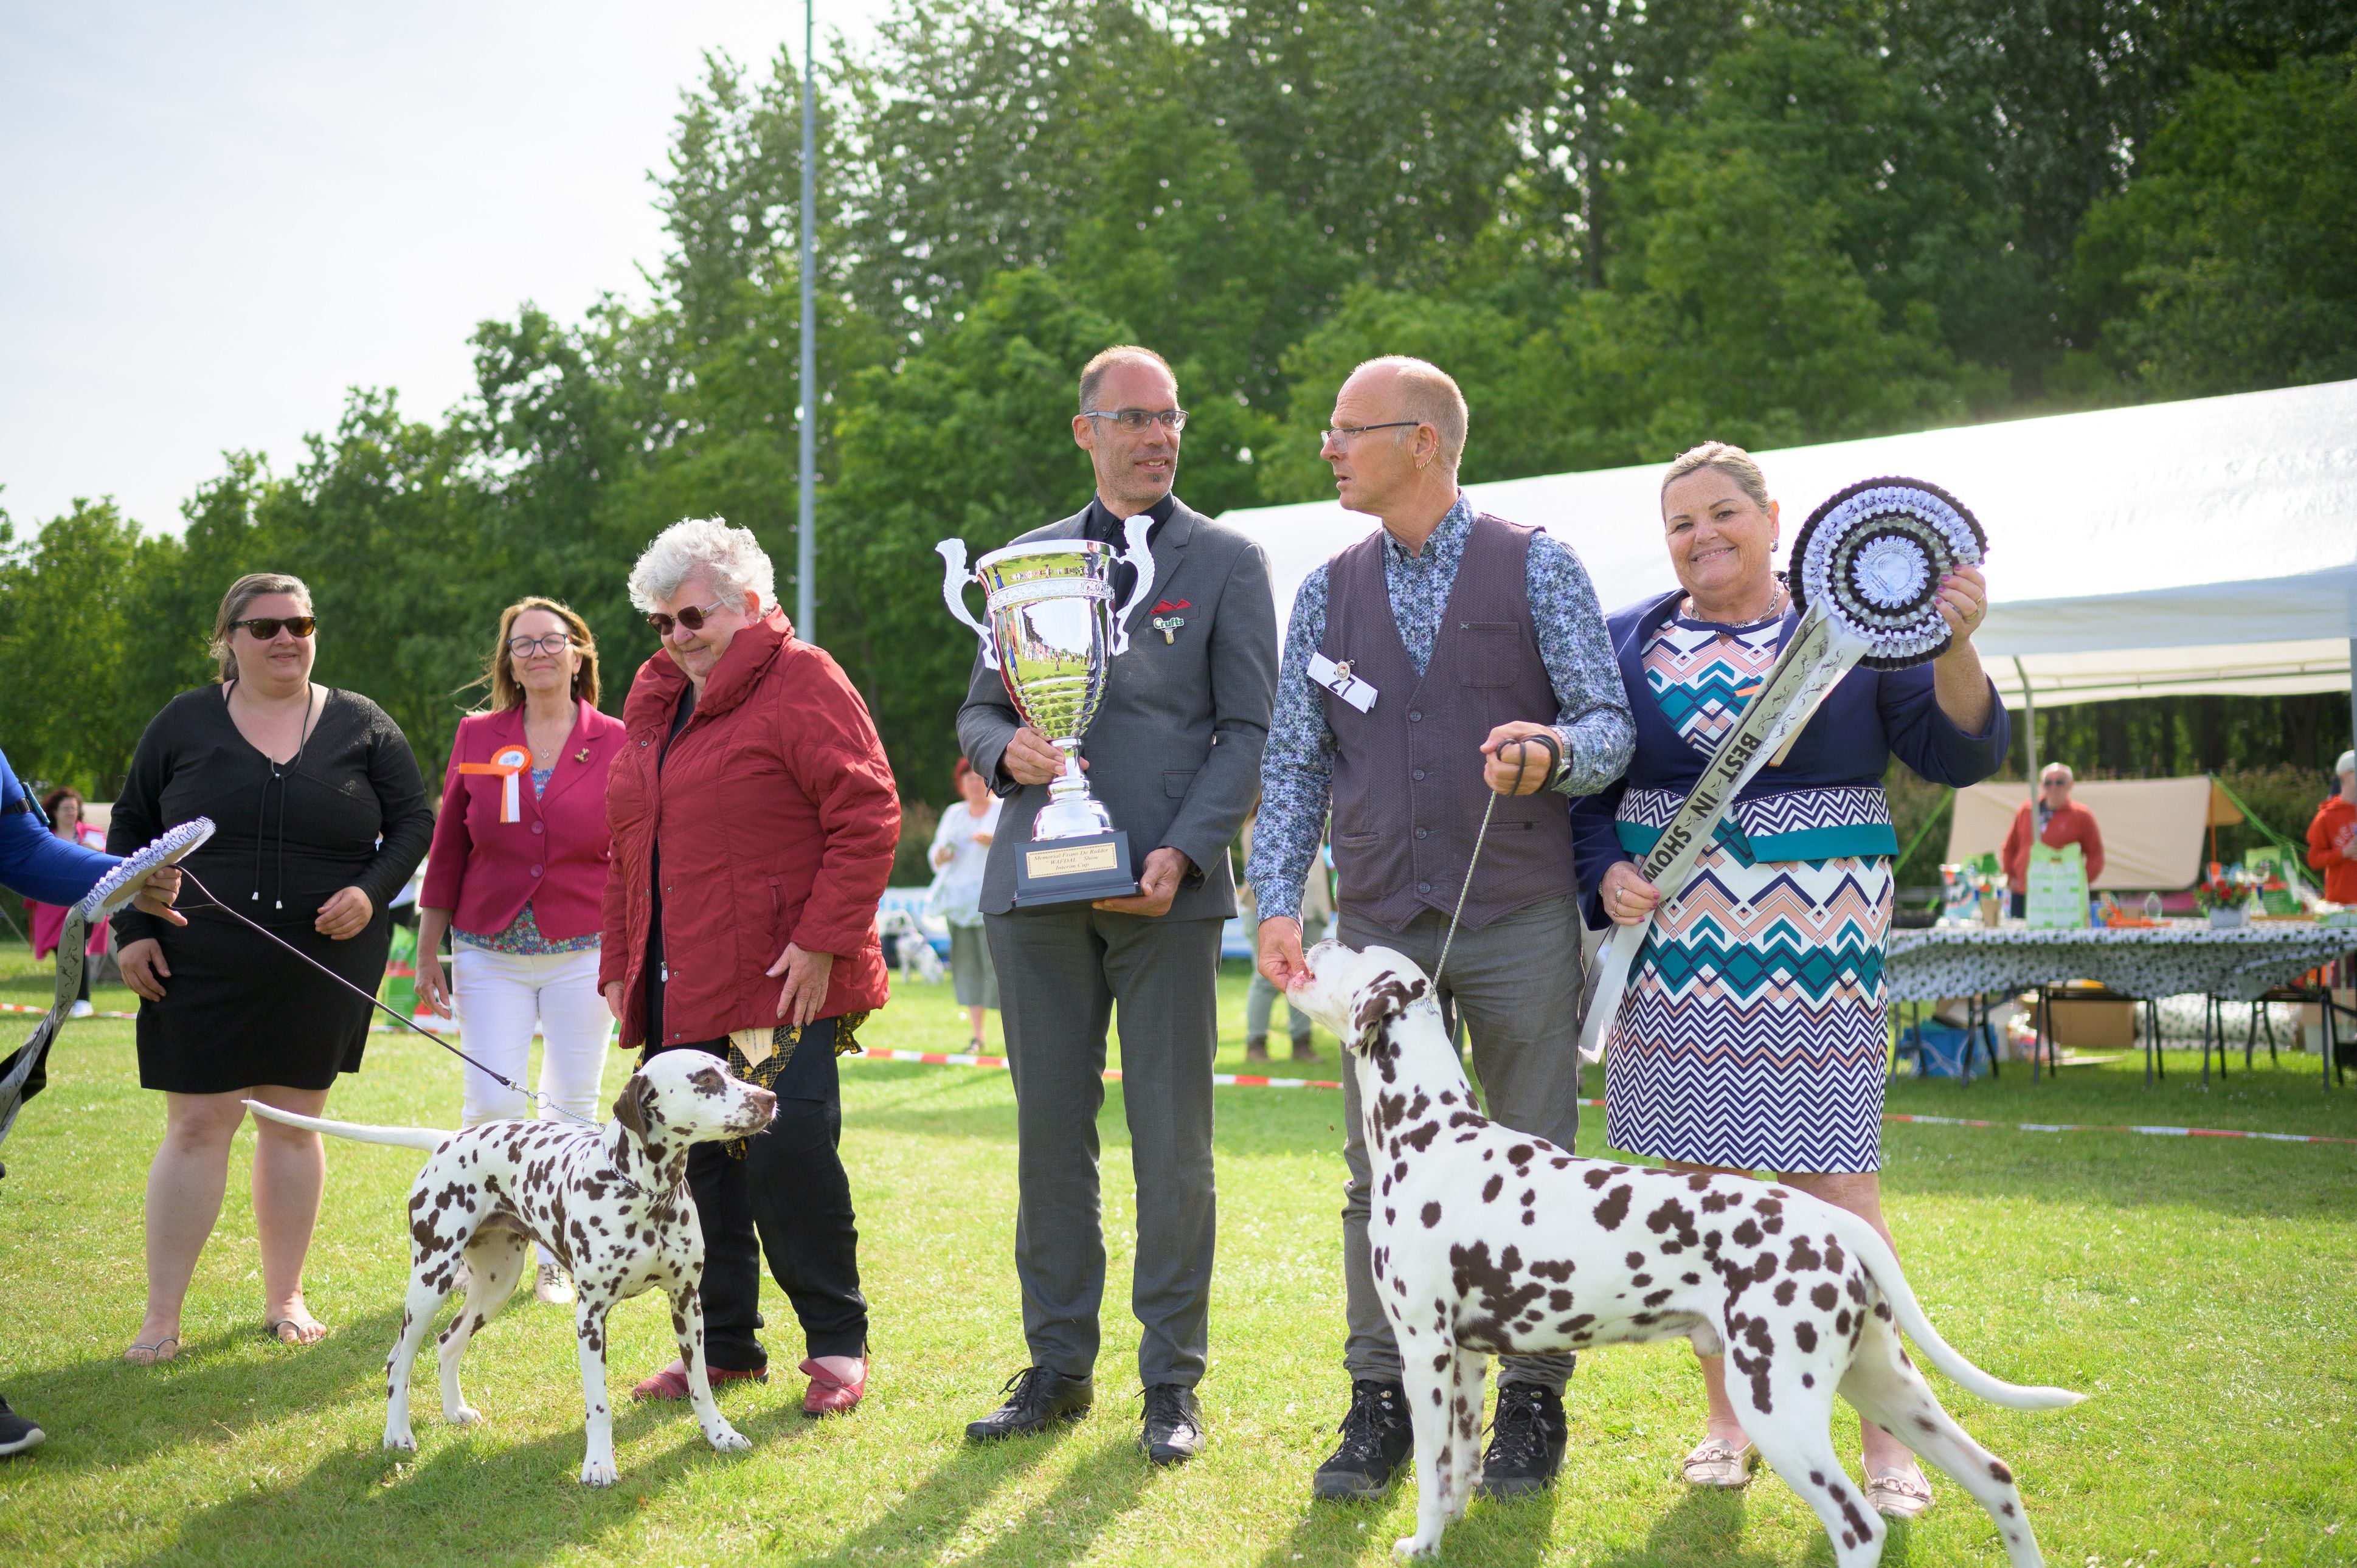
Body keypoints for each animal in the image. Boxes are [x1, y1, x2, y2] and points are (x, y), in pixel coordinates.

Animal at [253, 1046, 778, 1490]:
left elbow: (701, 1385)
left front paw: (720, 1434)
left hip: (495, 1286)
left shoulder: (687, 1303)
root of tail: (448, 1139)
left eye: (730, 1069)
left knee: (447, 1343)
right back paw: (398, 1433)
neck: (647, 1194)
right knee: (398, 1359)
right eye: (705, 1079)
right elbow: (599, 1405)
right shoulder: (590, 1317)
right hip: (429, 1281)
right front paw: (598, 1464)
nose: (770, 1097)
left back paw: (455, 1411)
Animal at [1292, 933, 2083, 1556]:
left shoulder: (1425, 1348)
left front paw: (1420, 1543)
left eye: (1352, 953)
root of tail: (1832, 1221)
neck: (1431, 1133)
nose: (1318, 937)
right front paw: (1445, 1534)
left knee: (1861, 1526)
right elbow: (1455, 1467)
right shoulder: (1467, 1358)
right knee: (1997, 1479)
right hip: (1887, 1384)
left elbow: (1430, 1473)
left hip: (1778, 1404)